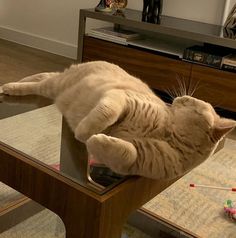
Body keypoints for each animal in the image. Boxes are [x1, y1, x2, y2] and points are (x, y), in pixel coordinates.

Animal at [0, 60, 235, 179]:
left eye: (189, 102)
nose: (179, 97)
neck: (165, 133)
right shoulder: (119, 98)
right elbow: (105, 114)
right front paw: (84, 132)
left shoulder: (133, 163)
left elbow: (126, 153)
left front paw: (98, 140)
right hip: (57, 85)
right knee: (38, 80)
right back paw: (10, 86)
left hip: (55, 87)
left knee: (43, 77)